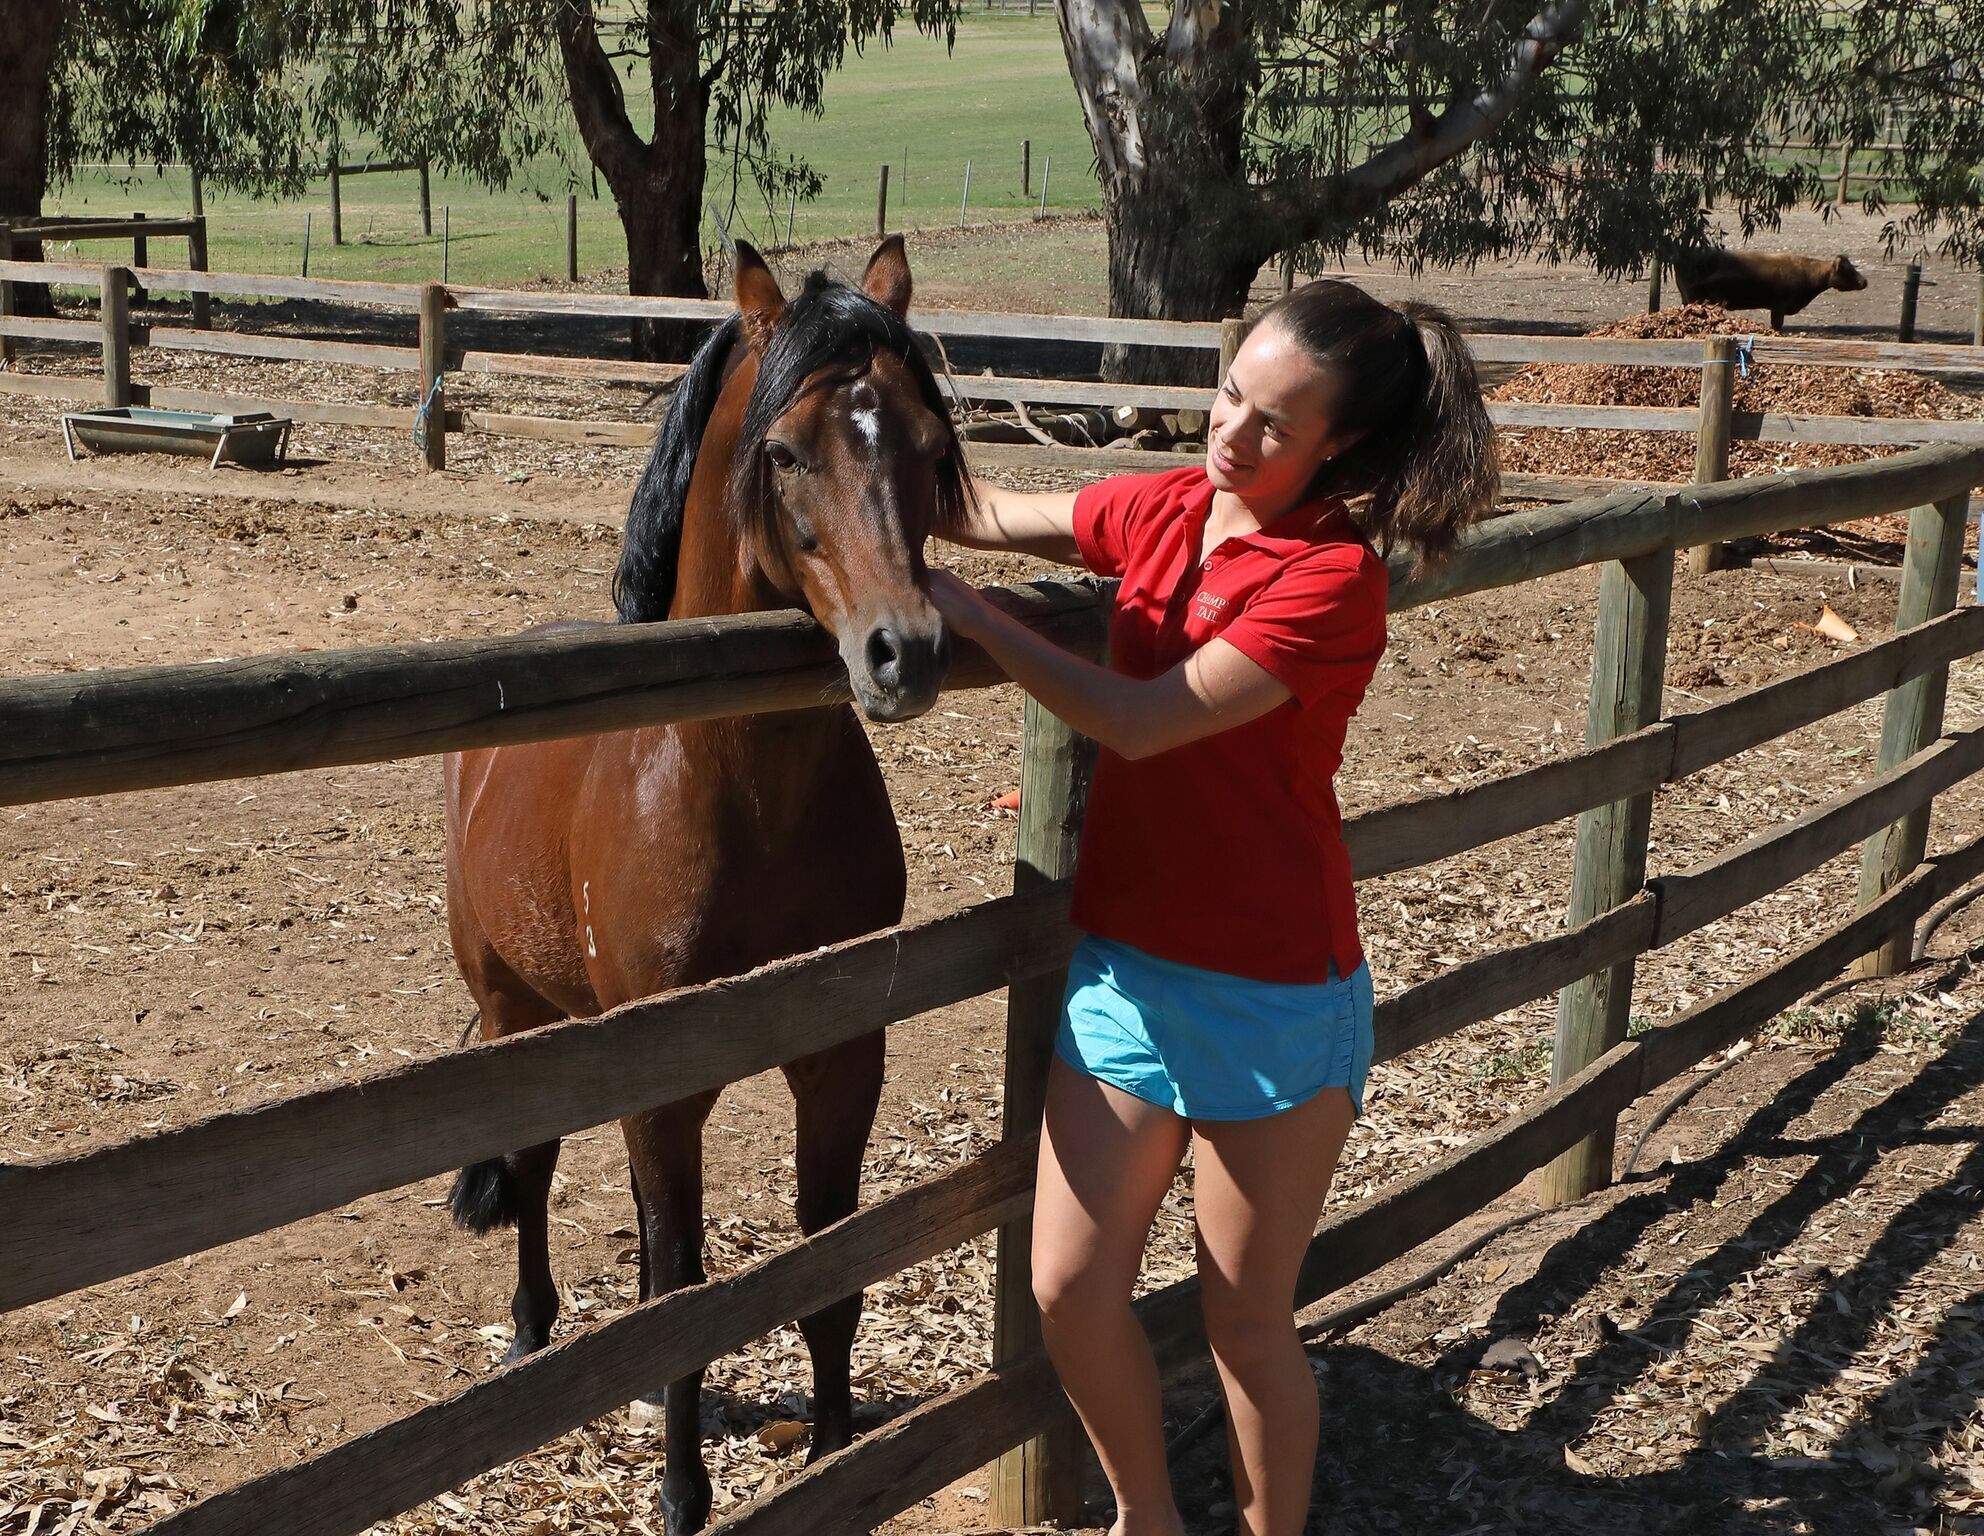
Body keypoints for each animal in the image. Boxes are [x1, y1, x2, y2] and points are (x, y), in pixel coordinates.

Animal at [452, 234, 976, 1532]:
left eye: (926, 445)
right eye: (785, 453)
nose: (904, 653)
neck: (738, 793)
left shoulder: (840, 1056)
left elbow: (824, 1256)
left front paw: (835, 1448)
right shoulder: (665, 1083)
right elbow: (687, 1294)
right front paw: (684, 1496)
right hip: (514, 1015)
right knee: (535, 1172)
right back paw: (531, 1334)